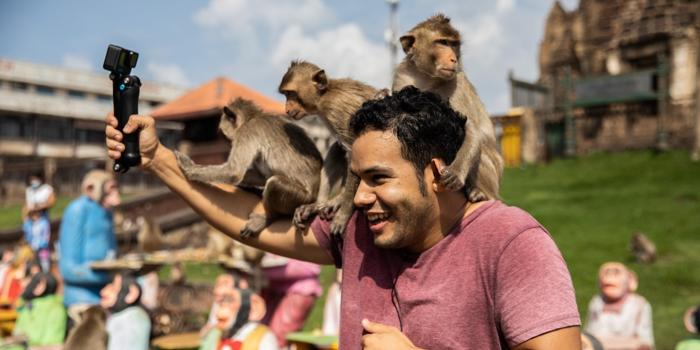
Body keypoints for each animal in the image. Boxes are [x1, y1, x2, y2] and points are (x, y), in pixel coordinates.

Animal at [174, 97, 322, 237]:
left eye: (227, 138)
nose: (229, 143)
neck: (252, 117)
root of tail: (315, 196)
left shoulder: (246, 132)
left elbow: (233, 173)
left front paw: (189, 168)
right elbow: (261, 176)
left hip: (301, 198)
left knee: (274, 183)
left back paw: (270, 217)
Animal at [278, 62, 380, 238]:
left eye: (291, 94)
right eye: (285, 94)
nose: (286, 108)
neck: (324, 97)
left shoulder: (338, 111)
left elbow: (355, 153)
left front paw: (343, 211)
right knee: (337, 148)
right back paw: (318, 204)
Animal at [394, 13, 504, 201]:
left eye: (454, 44)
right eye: (443, 42)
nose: (454, 58)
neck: (427, 78)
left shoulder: (456, 84)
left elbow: (472, 130)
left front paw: (456, 172)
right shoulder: (402, 76)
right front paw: (381, 94)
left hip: (493, 175)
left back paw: (479, 192)